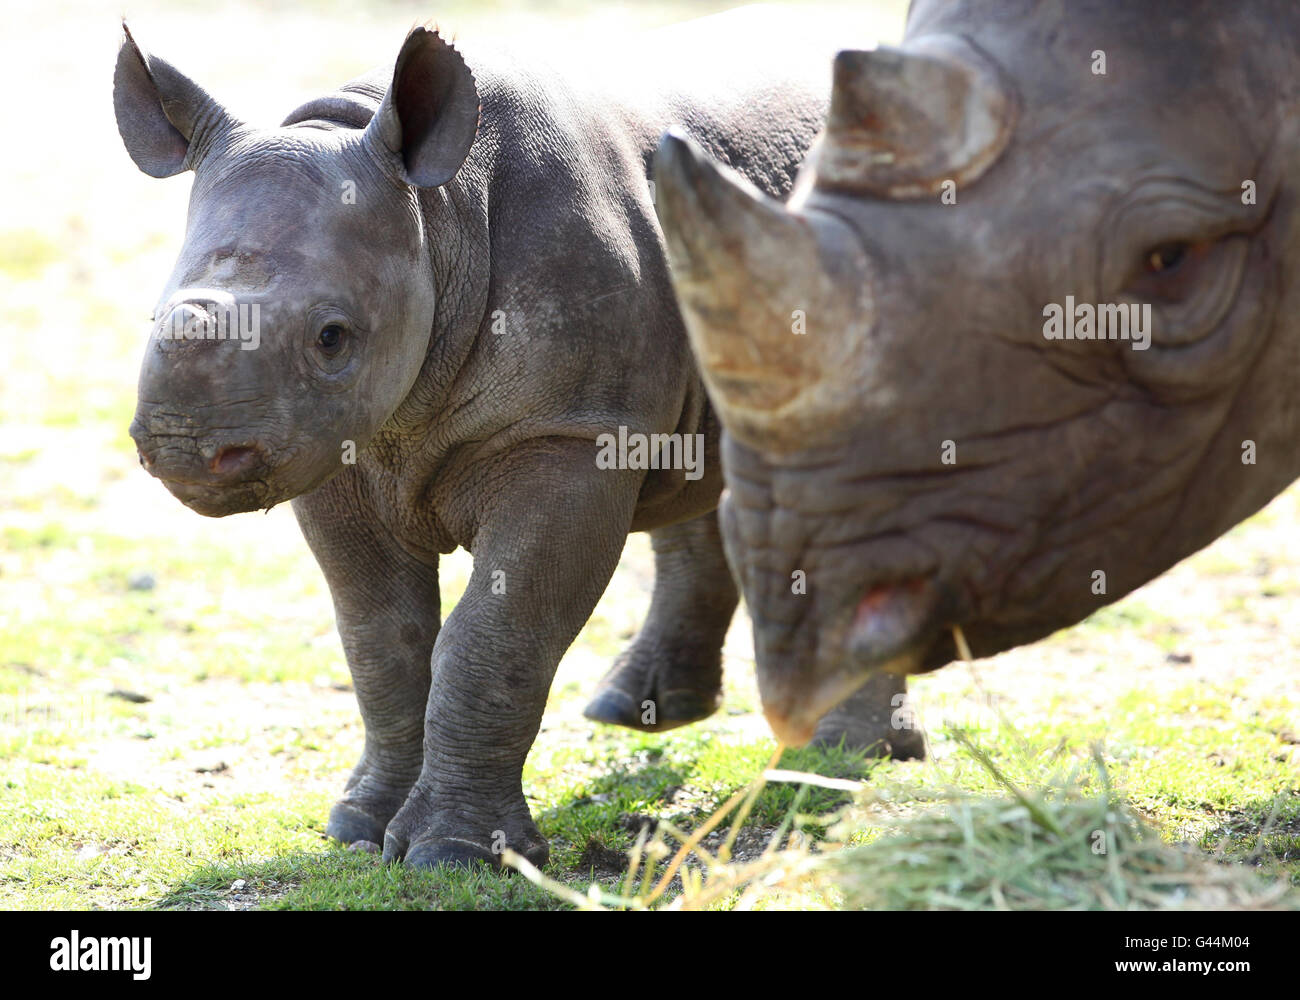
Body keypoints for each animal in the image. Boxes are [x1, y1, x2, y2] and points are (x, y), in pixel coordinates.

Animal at [113, 9, 922, 869]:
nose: (185, 449)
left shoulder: (566, 434)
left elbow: (494, 639)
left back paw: (848, 754)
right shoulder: (337, 449)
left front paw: (459, 853)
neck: (438, 218)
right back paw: (639, 709)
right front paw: (360, 828)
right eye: (155, 315)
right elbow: (381, 638)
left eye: (332, 337)